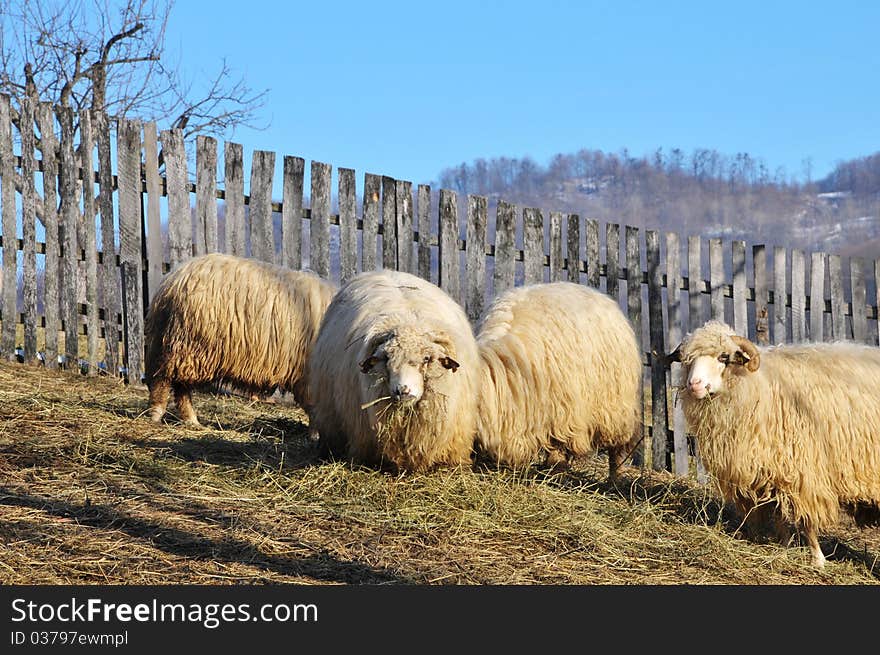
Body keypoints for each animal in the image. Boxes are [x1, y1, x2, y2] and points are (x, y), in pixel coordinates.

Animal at [144, 254, 336, 428]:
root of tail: (172, 279)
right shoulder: (309, 377)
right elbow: (315, 410)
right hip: (187, 344)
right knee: (164, 380)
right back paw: (157, 414)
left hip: (183, 348)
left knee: (180, 386)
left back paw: (191, 420)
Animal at [470, 280, 644, 480]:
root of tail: (599, 295)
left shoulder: (563, 410)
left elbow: (557, 444)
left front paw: (556, 470)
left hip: (614, 406)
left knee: (618, 446)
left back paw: (616, 477)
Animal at [668, 320, 880, 568]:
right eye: (687, 359)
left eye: (723, 357)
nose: (695, 384)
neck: (757, 387)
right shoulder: (771, 471)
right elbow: (779, 517)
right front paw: (784, 548)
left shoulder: (805, 470)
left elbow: (806, 521)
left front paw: (817, 560)